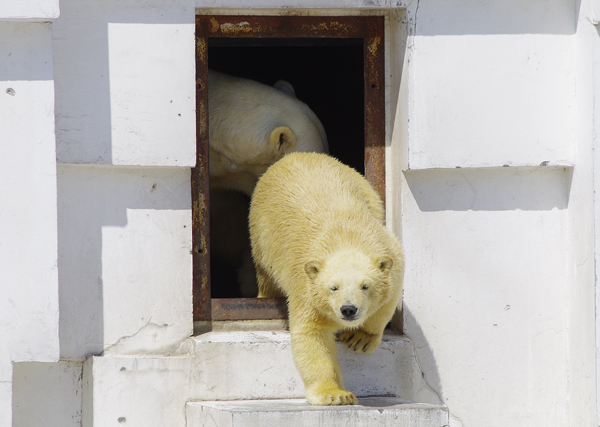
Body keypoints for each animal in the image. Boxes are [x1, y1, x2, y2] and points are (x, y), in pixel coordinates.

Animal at [248, 152, 404, 406]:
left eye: (365, 286)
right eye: (333, 288)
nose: (348, 309)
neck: (345, 238)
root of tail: (297, 154)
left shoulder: (391, 254)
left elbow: (388, 301)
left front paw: (360, 338)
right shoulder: (306, 286)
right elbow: (312, 336)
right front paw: (335, 394)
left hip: (367, 190)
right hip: (261, 231)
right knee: (265, 274)